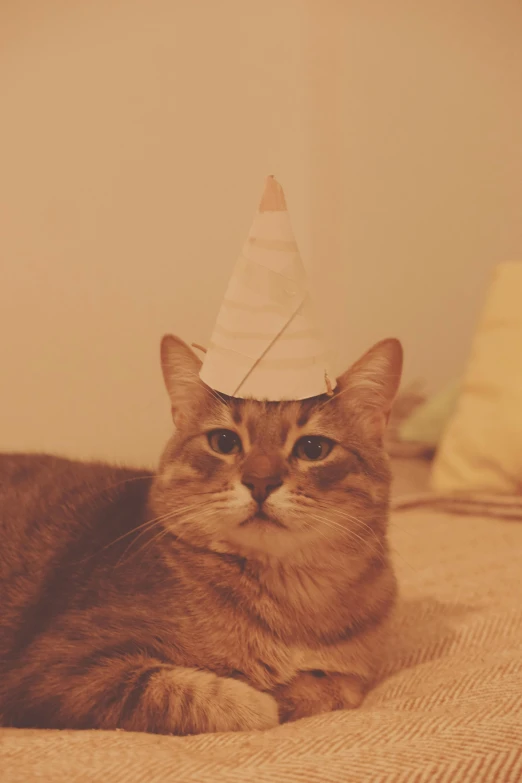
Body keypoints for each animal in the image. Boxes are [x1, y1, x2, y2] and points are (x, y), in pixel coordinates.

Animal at [0, 336, 402, 736]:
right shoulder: (58, 668)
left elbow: (338, 686)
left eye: (313, 448)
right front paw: (262, 696)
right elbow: (193, 694)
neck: (290, 600)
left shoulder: (351, 673)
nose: (260, 482)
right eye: (224, 441)